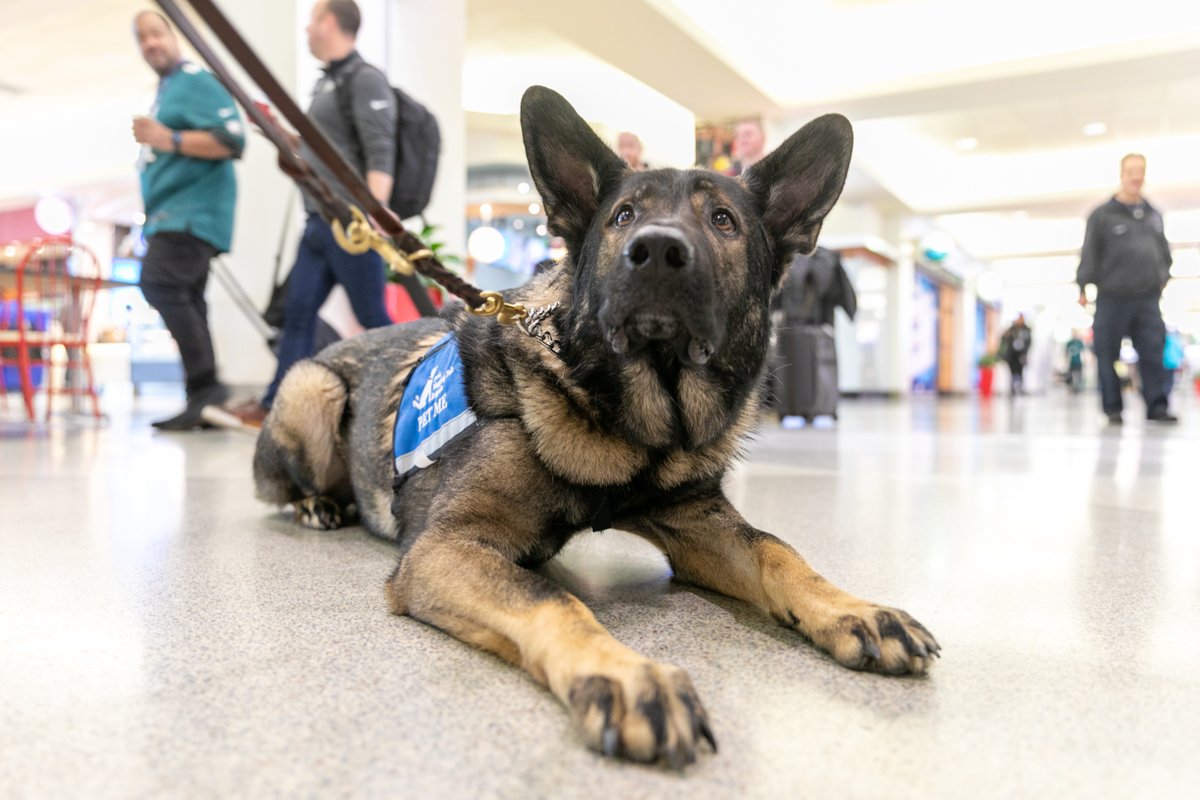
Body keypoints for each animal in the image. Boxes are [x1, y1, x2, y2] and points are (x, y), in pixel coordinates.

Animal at [253, 84, 940, 767]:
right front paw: (626, 676)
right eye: (624, 216)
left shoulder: (696, 523)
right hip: (310, 390)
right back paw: (318, 504)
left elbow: (778, 551)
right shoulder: (445, 548)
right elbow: (551, 597)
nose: (658, 251)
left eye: (724, 220)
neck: (632, 422)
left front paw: (854, 609)